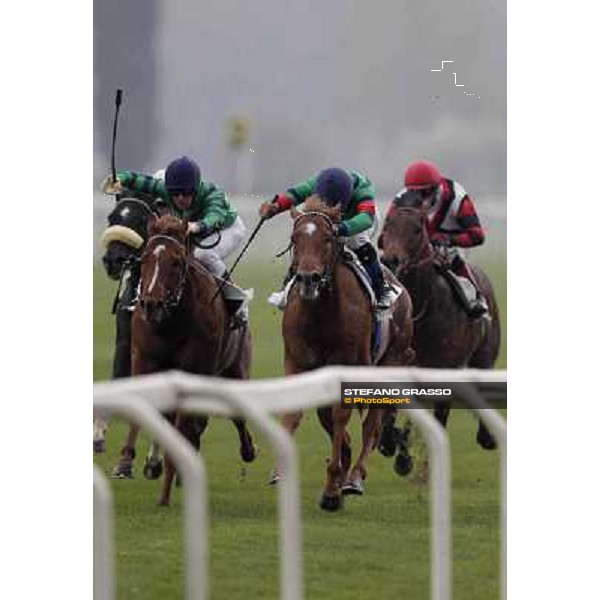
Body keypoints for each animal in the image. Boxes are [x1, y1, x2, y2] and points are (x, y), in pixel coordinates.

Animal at [113, 213, 256, 504]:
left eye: (177, 262)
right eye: (145, 258)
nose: (151, 304)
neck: (172, 322)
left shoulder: (192, 369)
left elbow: (183, 427)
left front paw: (165, 492)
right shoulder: (144, 360)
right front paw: (128, 461)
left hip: (235, 369)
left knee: (235, 416)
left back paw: (248, 450)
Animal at [276, 198, 412, 510]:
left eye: (327, 239)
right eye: (294, 239)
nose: (308, 279)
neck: (322, 314)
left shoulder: (348, 365)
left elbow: (340, 415)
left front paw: (332, 488)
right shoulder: (298, 360)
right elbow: (298, 412)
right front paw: (279, 471)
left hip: (390, 361)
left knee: (372, 425)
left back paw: (354, 478)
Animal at [380, 191, 502, 460]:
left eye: (417, 229)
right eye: (387, 225)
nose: (390, 260)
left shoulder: (447, 368)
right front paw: (392, 442)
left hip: (484, 355)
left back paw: (486, 436)